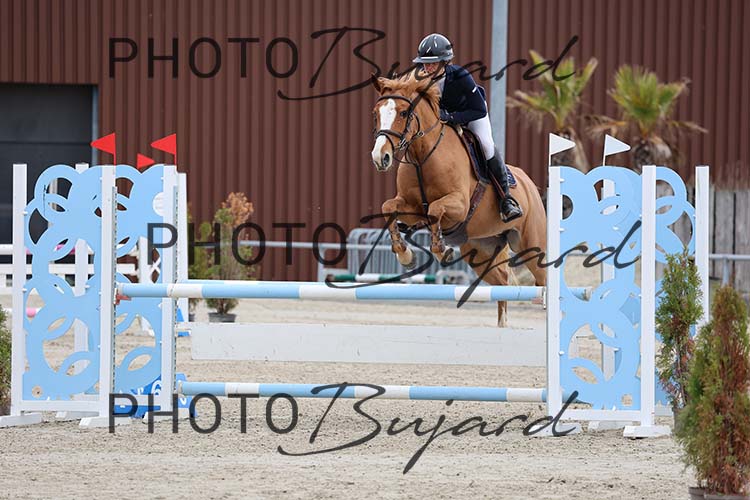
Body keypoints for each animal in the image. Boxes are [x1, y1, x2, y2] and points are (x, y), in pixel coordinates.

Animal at [370, 71, 547, 326]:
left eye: (403, 113)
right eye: (376, 113)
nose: (380, 157)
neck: (422, 156)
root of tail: (530, 184)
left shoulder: (459, 205)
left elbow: (435, 209)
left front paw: (441, 250)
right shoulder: (411, 207)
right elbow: (389, 207)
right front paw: (405, 254)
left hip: (532, 246)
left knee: (544, 278)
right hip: (480, 250)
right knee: (502, 281)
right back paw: (502, 325)